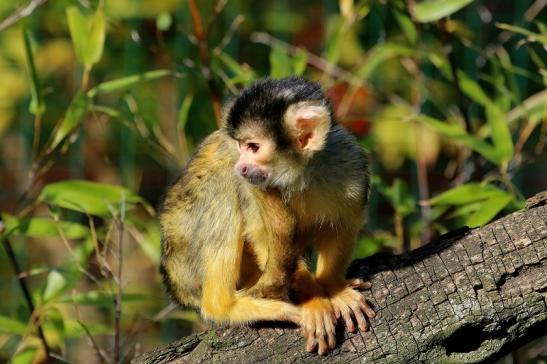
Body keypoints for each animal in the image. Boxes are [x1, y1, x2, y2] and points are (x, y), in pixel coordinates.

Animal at [158, 77, 372, 356]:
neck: (298, 174)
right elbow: (260, 234)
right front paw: (313, 299)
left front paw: (333, 286)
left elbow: (345, 224)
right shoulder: (251, 186)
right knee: (221, 184)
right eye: (241, 146)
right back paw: (224, 305)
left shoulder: (349, 161)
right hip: (182, 254)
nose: (241, 166)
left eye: (253, 147)